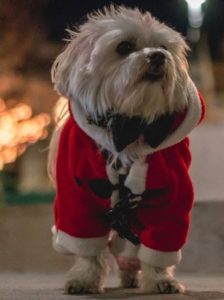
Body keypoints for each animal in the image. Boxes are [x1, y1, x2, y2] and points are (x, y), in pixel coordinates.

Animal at [49, 4, 205, 296]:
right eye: (124, 47)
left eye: (163, 46)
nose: (158, 56)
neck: (130, 124)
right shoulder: (77, 197)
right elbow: (87, 244)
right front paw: (85, 279)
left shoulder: (171, 194)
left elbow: (161, 241)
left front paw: (161, 280)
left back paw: (131, 274)